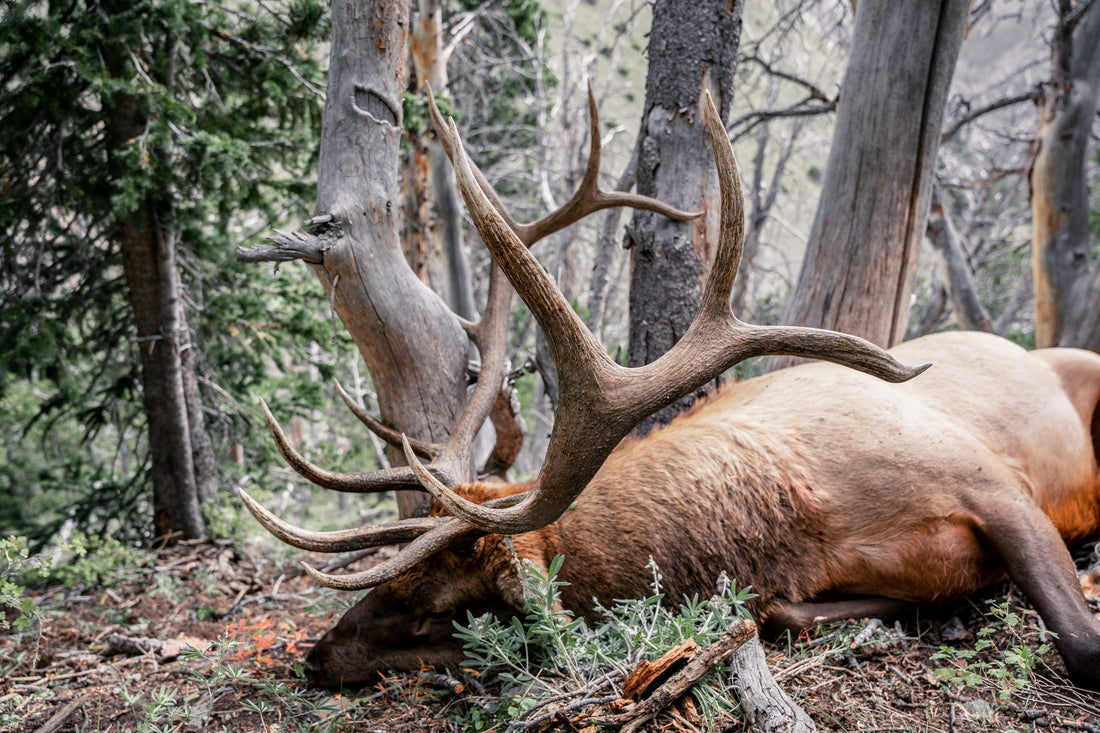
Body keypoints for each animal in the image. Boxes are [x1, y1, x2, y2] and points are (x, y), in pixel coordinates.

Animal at [239, 89, 1100, 691]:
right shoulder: (805, 581)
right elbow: (780, 612)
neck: (805, 517)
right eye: (393, 580)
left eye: (433, 610)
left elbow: (1081, 640)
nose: (315, 656)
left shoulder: (989, 479)